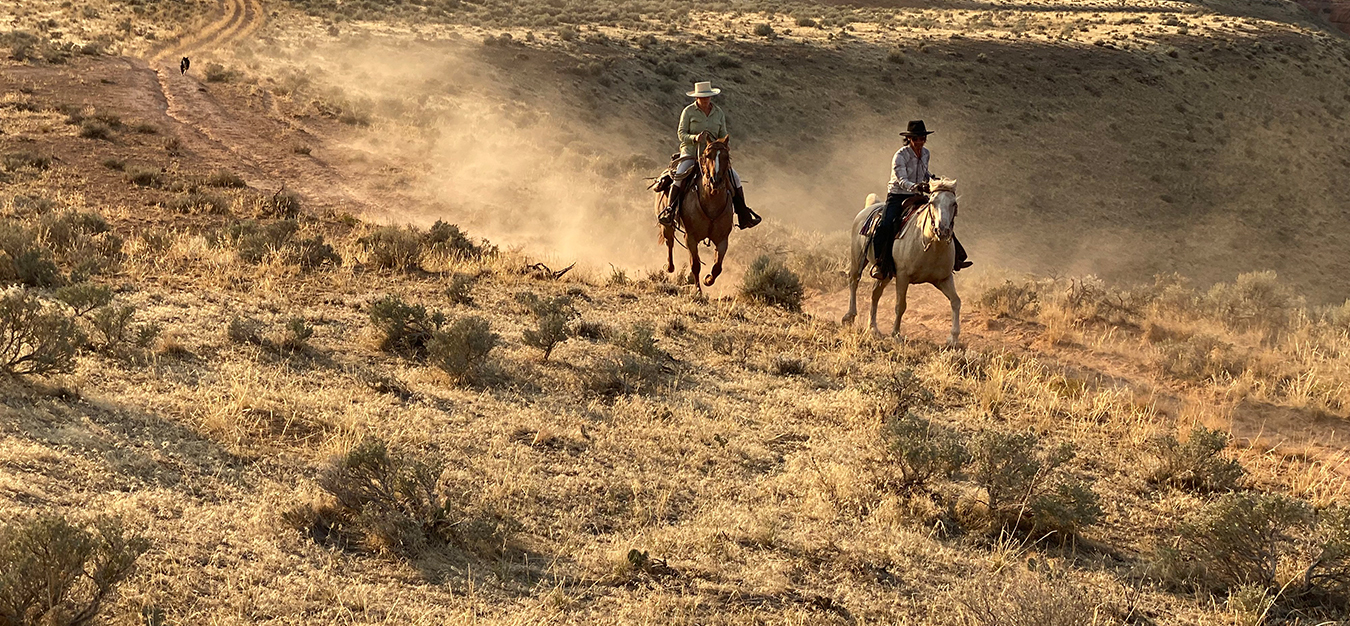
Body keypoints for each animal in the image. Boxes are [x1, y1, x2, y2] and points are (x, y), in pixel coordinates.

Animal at [658, 136, 734, 291]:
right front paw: (698, 290)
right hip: (666, 226)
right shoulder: (691, 238)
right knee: (670, 242)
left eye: (726, 156)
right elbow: (695, 265)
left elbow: (717, 267)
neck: (711, 202)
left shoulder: (723, 240)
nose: (715, 181)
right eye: (708, 155)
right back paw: (669, 267)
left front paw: (707, 280)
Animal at [842, 179, 961, 348]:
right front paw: (896, 334)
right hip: (857, 258)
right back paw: (850, 316)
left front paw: (953, 338)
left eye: (953, 203)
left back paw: (873, 328)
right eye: (932, 202)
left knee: (875, 293)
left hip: (885, 272)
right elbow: (901, 305)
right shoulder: (903, 276)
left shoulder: (943, 279)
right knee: (853, 281)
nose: (942, 230)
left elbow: (956, 301)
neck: (930, 244)